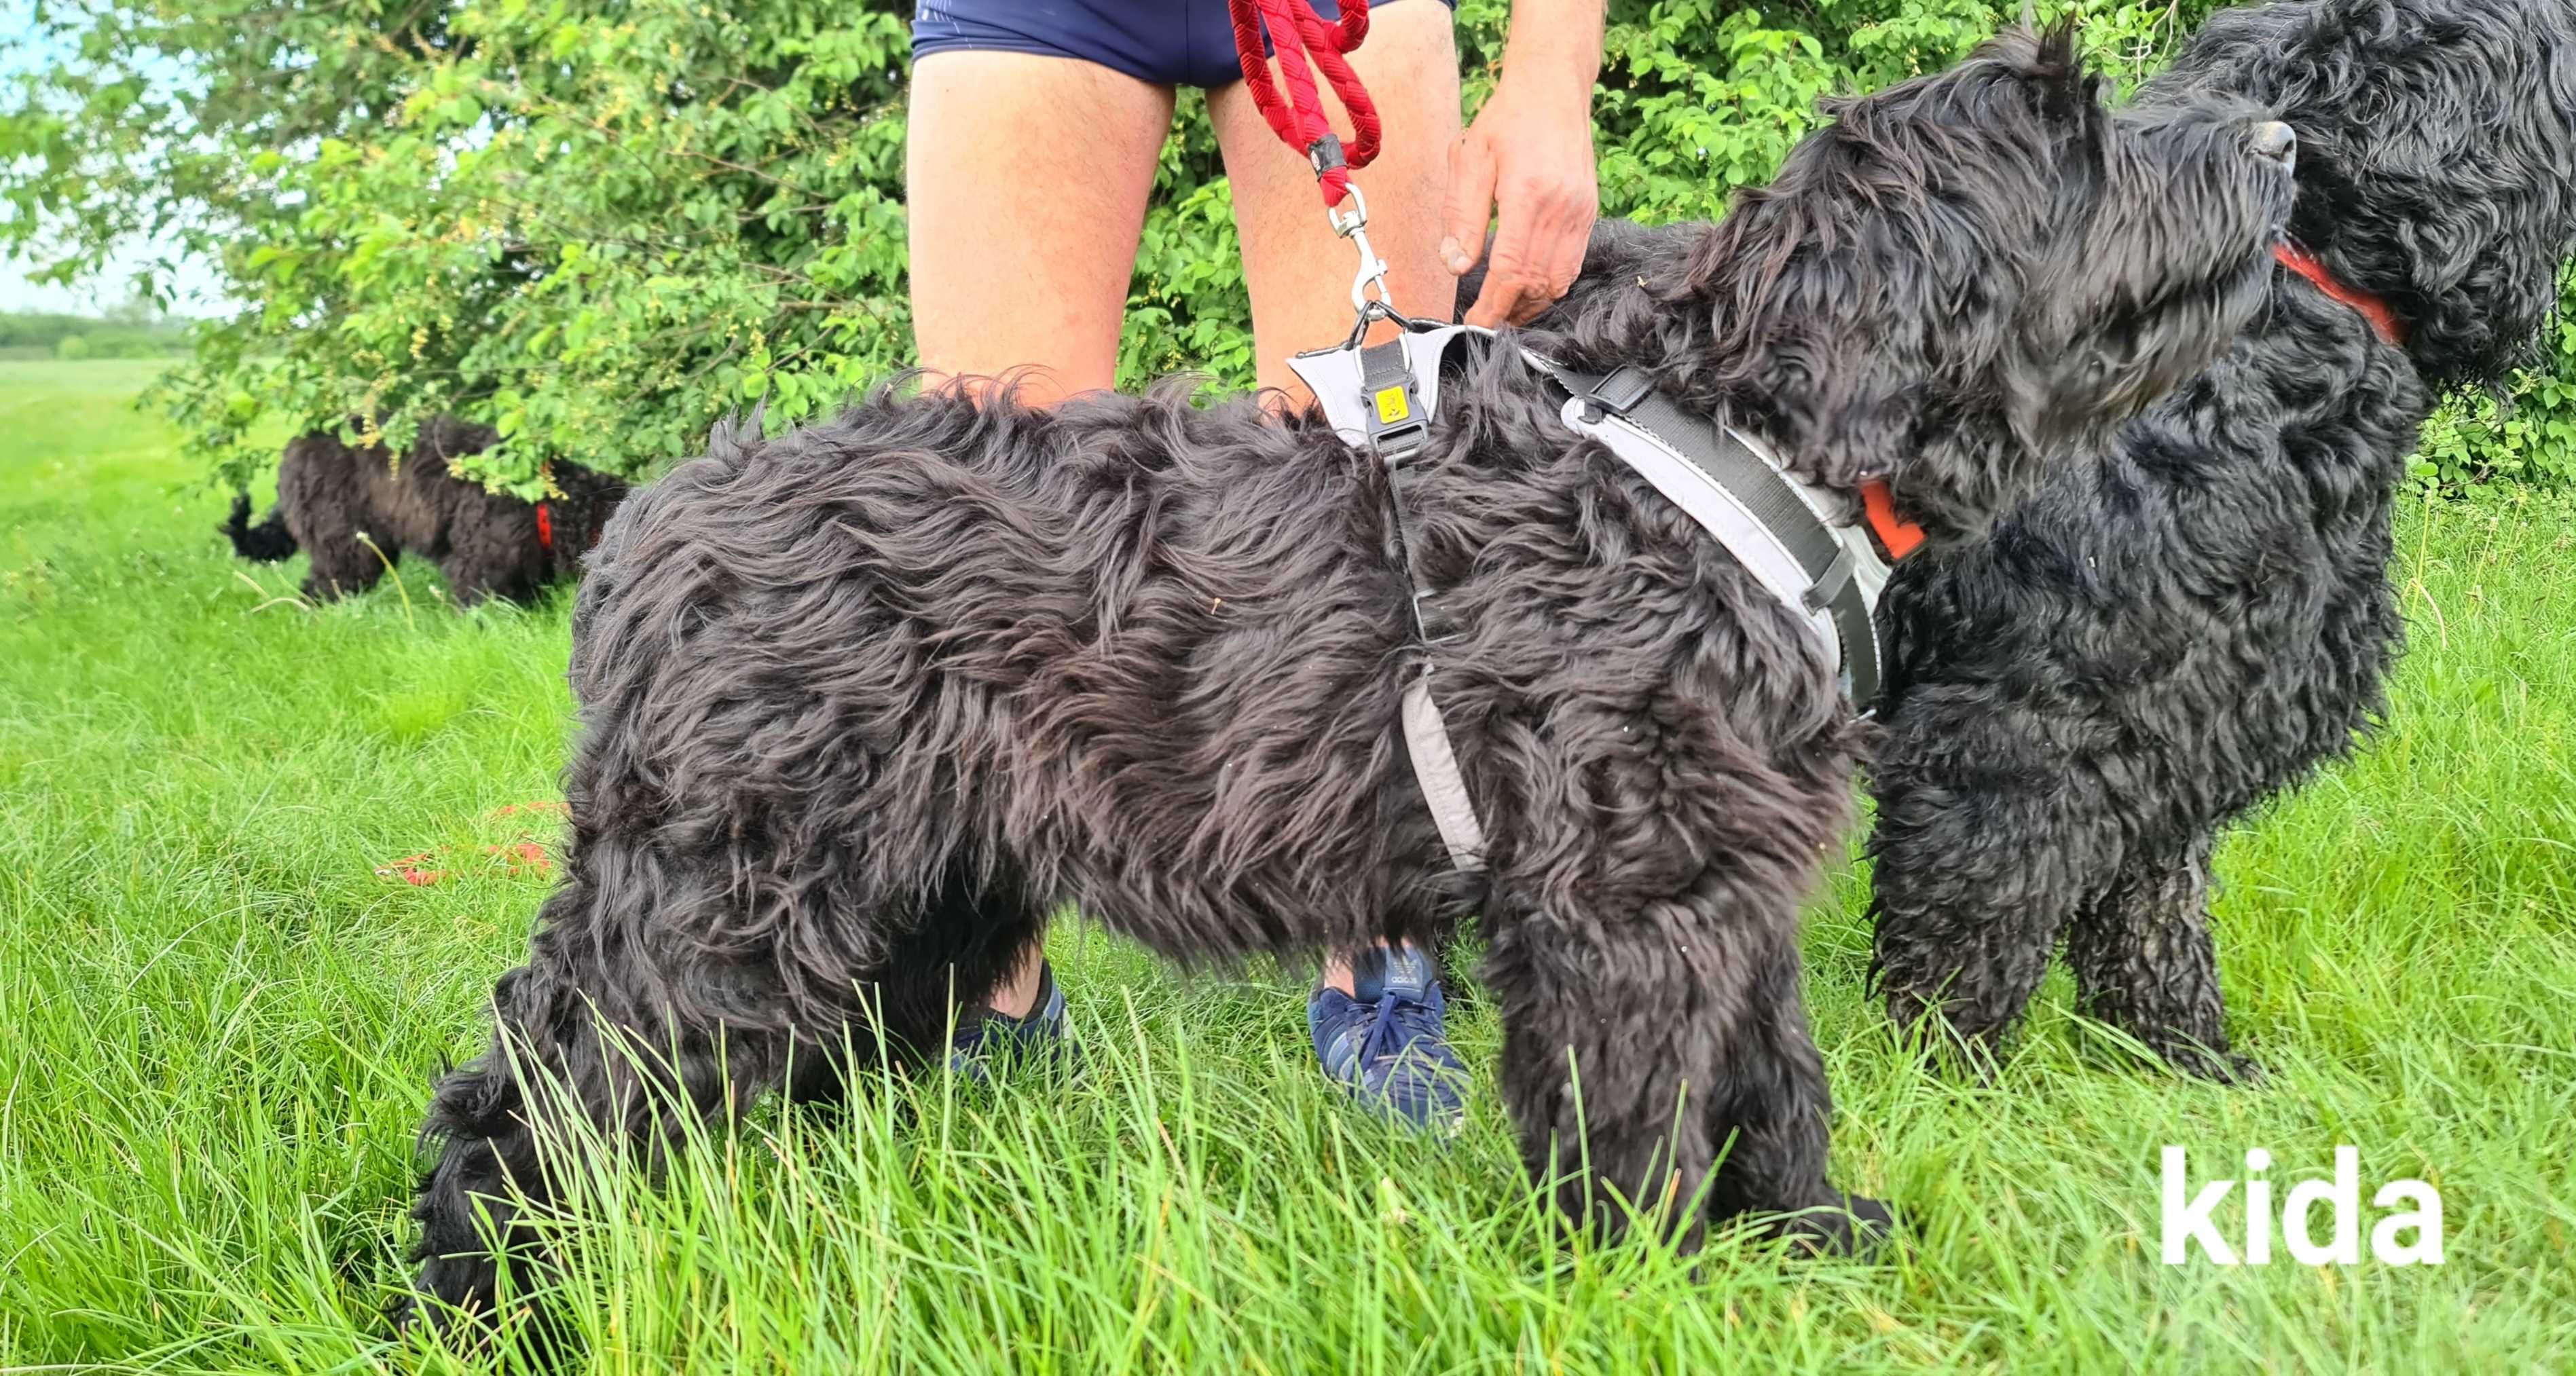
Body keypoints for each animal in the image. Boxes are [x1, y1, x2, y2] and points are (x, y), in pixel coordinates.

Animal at [407, 29, 2298, 1339]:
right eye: (2071, 131)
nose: (2282, 142)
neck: (1726, 442)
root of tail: (650, 518)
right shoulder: (1618, 903)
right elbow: (1636, 1120)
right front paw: (1658, 1289)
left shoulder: (1726, 877)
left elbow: (1775, 1079)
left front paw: (1813, 1235)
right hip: (726, 886)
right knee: (533, 1082)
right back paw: (481, 1296)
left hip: (911, 891)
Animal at [1864, 0, 2576, 1082]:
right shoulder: (2006, 737)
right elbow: (1970, 932)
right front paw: (1944, 1088)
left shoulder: (2174, 719)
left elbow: (2155, 913)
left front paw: (2183, 1065)